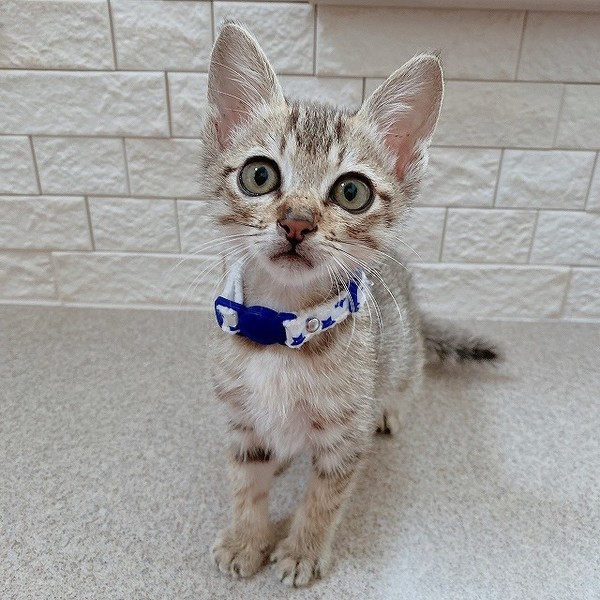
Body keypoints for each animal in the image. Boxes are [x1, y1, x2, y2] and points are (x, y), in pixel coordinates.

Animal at [199, 22, 498, 587]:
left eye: (352, 191)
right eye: (259, 175)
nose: (296, 222)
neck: (280, 329)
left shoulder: (344, 437)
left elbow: (324, 499)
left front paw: (302, 550)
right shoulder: (242, 421)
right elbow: (244, 484)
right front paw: (247, 538)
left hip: (402, 358)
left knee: (408, 377)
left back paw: (391, 410)